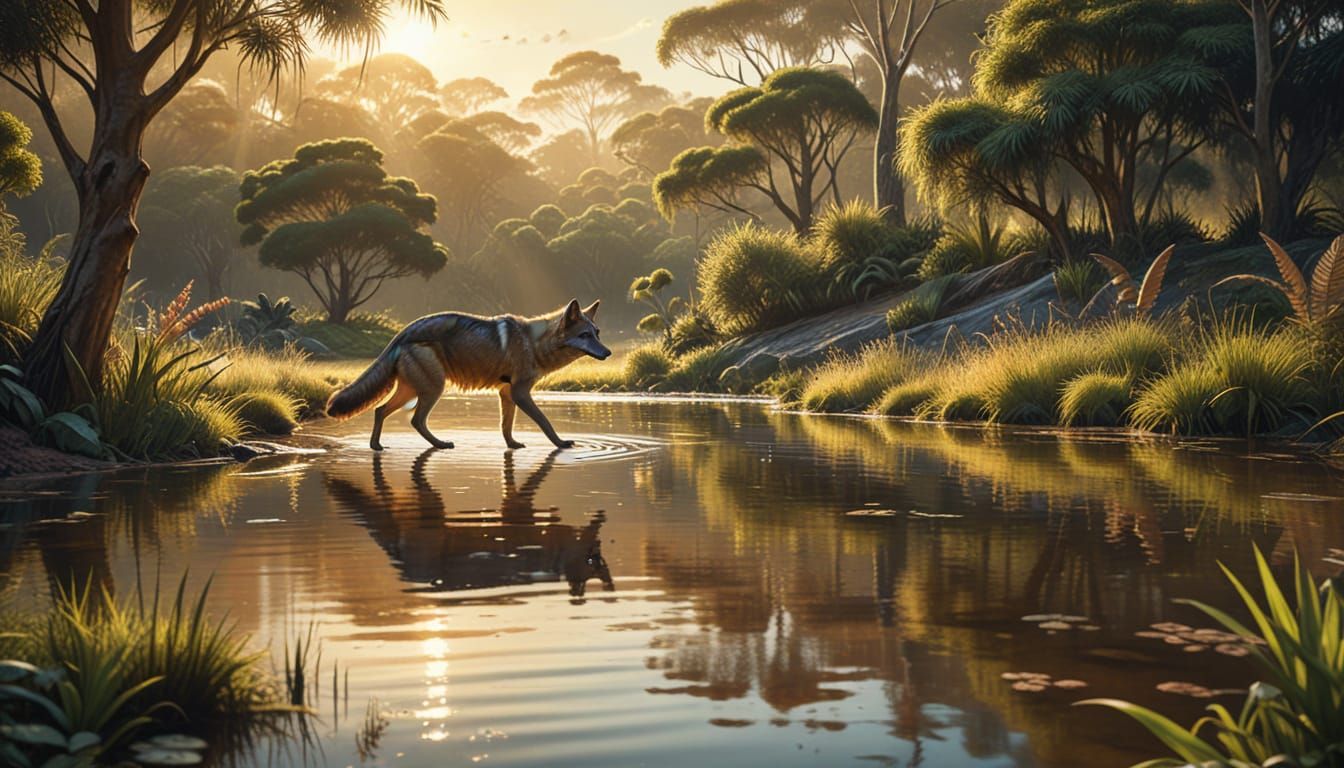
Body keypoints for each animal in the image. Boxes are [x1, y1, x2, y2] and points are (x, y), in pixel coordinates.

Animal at [326, 299, 610, 451]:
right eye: (585, 335)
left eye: (597, 333)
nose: (607, 353)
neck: (534, 342)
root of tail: (402, 332)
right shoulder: (520, 393)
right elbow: (545, 422)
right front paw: (560, 443)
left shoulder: (507, 393)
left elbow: (506, 426)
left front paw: (512, 445)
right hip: (433, 389)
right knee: (415, 420)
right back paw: (440, 444)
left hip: (412, 390)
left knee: (380, 410)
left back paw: (376, 446)